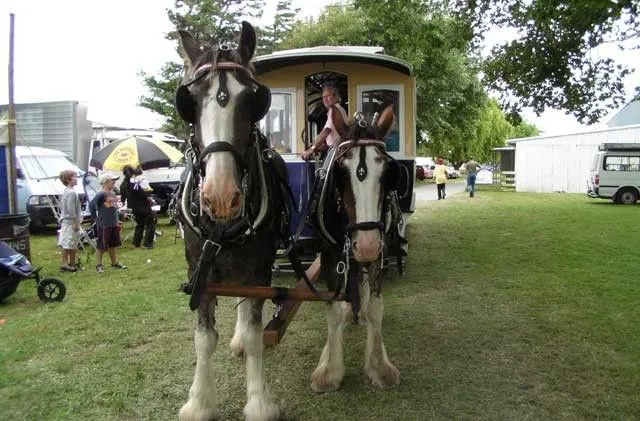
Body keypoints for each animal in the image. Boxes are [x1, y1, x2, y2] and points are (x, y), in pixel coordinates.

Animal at [174, 21, 290, 421]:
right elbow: (203, 338)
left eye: (253, 101)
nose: (221, 196)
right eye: (190, 102)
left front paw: (258, 401)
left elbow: (256, 333)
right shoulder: (199, 267)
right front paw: (199, 401)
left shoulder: (259, 264)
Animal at [308, 107, 402, 393]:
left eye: (388, 171)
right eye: (340, 171)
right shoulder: (330, 256)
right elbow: (334, 311)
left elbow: (375, 309)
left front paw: (379, 365)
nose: (367, 246)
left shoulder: (380, 254)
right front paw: (330, 370)